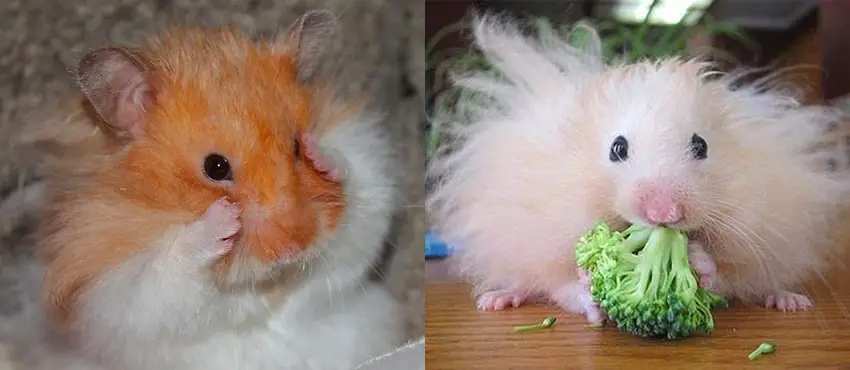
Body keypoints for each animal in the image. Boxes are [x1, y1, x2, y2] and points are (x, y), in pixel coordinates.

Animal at [0, 8, 404, 370]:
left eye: (295, 147)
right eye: (215, 167)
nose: (293, 249)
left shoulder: (364, 215)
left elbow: (362, 205)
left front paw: (323, 156)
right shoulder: (110, 290)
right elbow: (162, 273)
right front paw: (220, 220)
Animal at [428, 13, 848, 324]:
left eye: (701, 145)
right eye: (617, 148)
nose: (664, 213)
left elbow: (721, 273)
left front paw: (698, 260)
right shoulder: (544, 243)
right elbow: (566, 284)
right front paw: (590, 290)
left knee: (765, 282)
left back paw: (791, 301)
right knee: (521, 281)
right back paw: (495, 300)